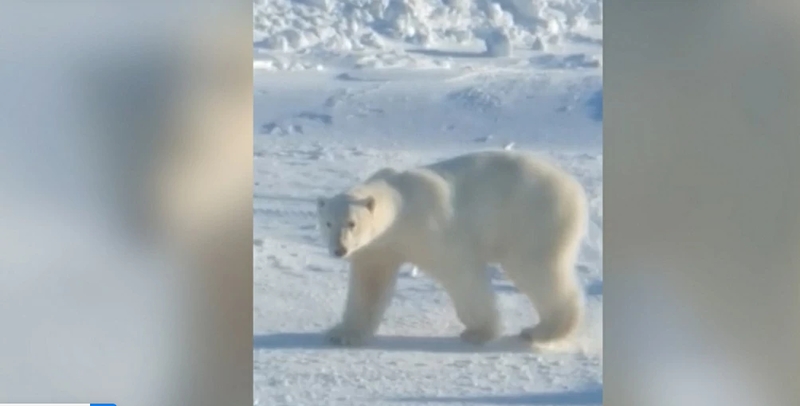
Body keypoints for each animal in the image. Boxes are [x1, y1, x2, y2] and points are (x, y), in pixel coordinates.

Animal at [314, 151, 588, 348]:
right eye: (328, 223)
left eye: (351, 223)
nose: (339, 250)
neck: (402, 206)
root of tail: (575, 188)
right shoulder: (379, 246)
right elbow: (370, 285)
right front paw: (343, 333)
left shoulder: (430, 227)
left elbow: (462, 272)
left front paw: (479, 332)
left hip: (535, 217)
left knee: (535, 269)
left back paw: (540, 331)